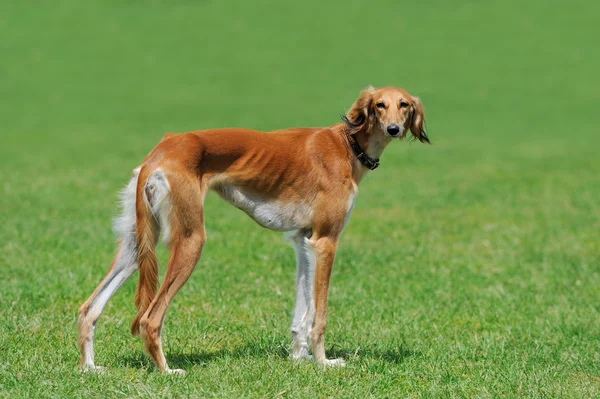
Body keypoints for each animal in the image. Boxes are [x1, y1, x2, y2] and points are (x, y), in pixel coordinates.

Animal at [77, 85, 428, 376]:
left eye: (404, 105)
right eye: (380, 105)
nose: (394, 129)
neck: (348, 143)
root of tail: (159, 152)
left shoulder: (304, 240)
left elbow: (302, 310)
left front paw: (299, 357)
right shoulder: (326, 241)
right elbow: (319, 314)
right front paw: (323, 362)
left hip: (136, 244)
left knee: (88, 308)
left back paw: (90, 367)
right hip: (191, 239)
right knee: (149, 318)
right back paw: (166, 371)